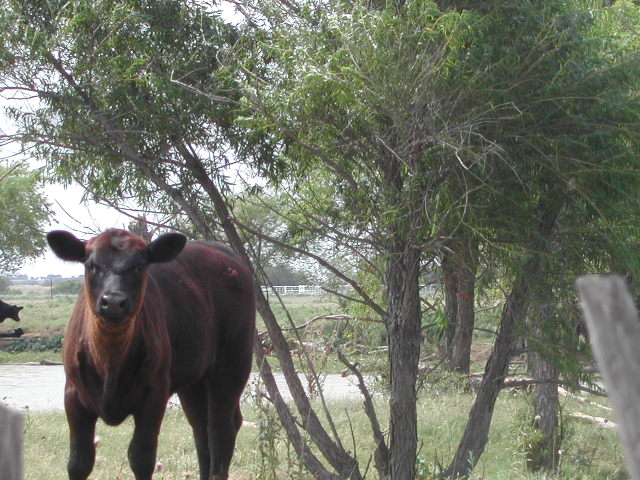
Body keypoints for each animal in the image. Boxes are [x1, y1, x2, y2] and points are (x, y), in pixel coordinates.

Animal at [46, 229, 256, 480]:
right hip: (193, 381)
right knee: (201, 430)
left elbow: (141, 458)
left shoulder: (154, 395)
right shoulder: (74, 396)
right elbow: (79, 461)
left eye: (139, 266)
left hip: (232, 364)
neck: (110, 362)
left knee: (220, 430)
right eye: (91, 265)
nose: (113, 302)